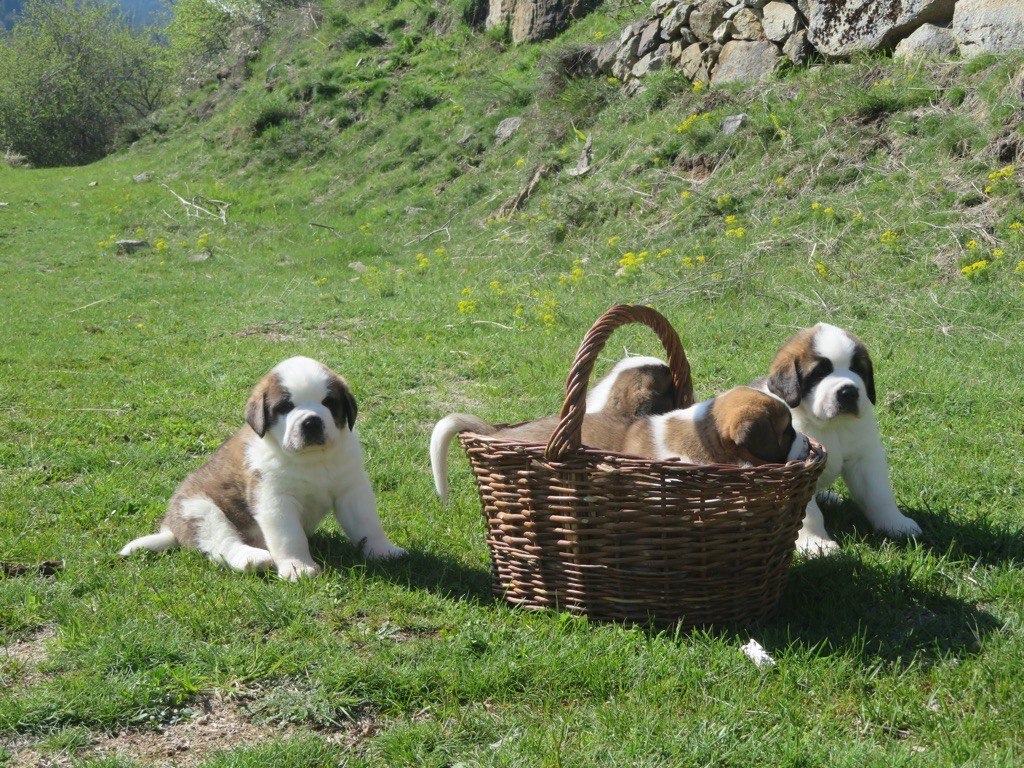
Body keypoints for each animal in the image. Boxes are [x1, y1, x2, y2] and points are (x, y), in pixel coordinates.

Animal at [119, 358, 403, 581]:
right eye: (285, 407)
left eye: (329, 402)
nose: (311, 422)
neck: (311, 460)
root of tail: (170, 528)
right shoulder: (274, 499)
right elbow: (290, 536)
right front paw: (298, 567)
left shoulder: (352, 488)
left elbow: (367, 523)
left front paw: (382, 550)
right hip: (199, 509)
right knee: (222, 543)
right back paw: (252, 558)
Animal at [757, 321, 925, 557]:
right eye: (819, 372)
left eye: (858, 370)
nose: (849, 392)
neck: (830, 426)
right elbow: (808, 514)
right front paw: (816, 543)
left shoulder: (865, 459)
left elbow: (879, 495)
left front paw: (896, 523)